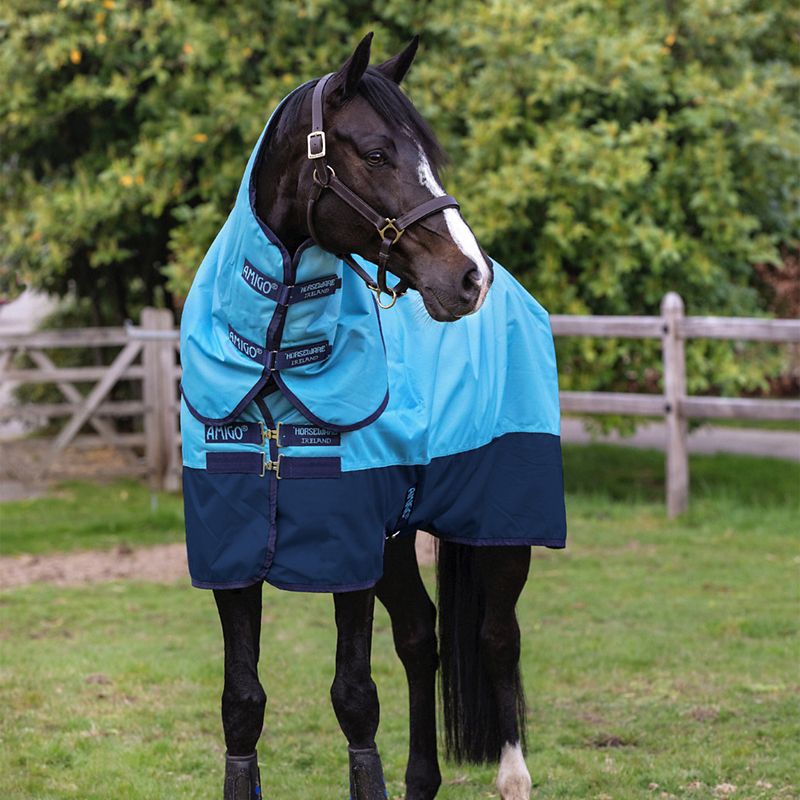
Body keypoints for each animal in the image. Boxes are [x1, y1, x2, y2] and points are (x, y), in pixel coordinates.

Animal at [180, 32, 568, 800]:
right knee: (421, 638)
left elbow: (354, 697)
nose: (468, 277)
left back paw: (513, 776)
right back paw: (422, 779)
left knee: (497, 637)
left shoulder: (348, 550)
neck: (278, 353)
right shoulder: (235, 549)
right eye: (379, 152)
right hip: (395, 537)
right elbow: (242, 704)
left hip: (502, 523)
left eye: (426, 155)